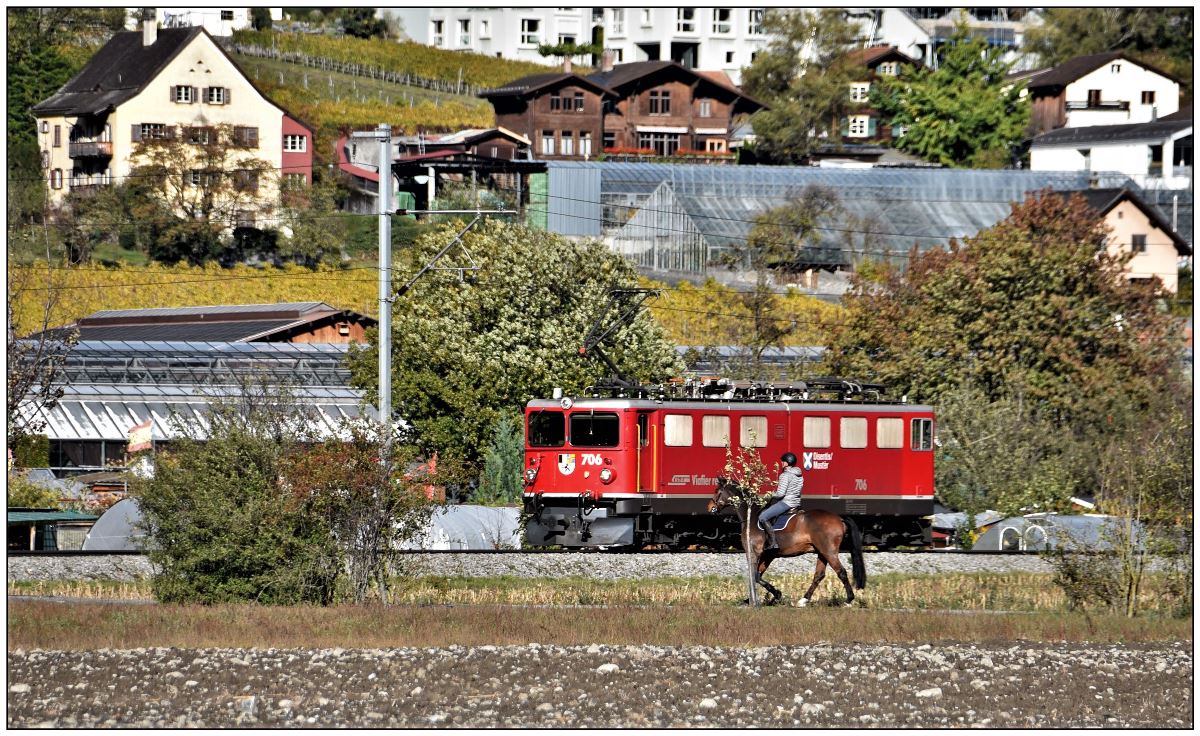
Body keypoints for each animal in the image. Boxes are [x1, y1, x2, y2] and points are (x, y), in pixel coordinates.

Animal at [705, 475, 868, 602]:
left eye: (717, 491)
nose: (709, 508)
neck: (751, 516)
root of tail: (839, 518)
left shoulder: (755, 553)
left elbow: (754, 575)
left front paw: (772, 596)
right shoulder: (768, 556)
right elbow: (757, 575)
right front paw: (764, 597)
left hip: (829, 551)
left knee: (841, 572)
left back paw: (849, 599)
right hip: (822, 552)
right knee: (819, 575)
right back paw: (804, 600)